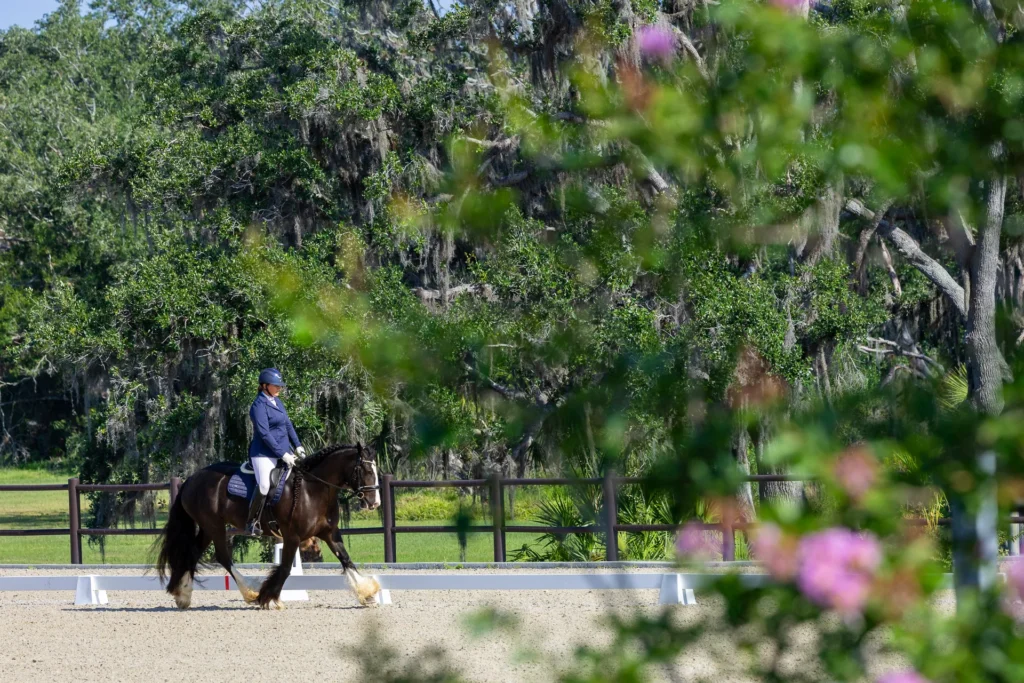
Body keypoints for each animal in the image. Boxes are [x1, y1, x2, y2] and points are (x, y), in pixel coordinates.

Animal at [155, 443, 382, 609]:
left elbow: (346, 559)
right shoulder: (292, 536)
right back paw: (250, 592)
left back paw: (183, 595)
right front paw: (267, 597)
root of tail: (191, 479)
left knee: (192, 553)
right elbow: (285, 568)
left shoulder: (330, 533)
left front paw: (367, 593)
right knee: (222, 557)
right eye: (365, 469)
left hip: (207, 528)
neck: (313, 489)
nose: (375, 503)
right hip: (214, 526)